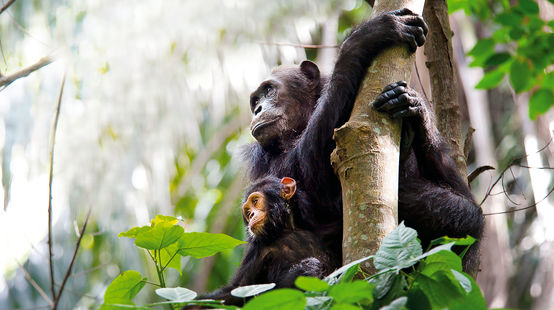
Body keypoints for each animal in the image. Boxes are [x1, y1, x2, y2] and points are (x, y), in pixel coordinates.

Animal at [201, 176, 334, 306]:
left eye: (255, 201)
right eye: (247, 212)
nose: (251, 214)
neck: (286, 230)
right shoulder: (256, 252)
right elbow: (235, 293)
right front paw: (305, 269)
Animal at [244, 8, 480, 272]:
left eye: (269, 90)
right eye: (255, 100)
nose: (258, 109)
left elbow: (461, 192)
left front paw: (414, 107)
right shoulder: (259, 158)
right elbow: (301, 176)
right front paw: (365, 37)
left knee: (468, 216)